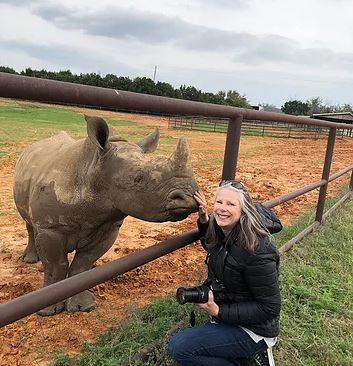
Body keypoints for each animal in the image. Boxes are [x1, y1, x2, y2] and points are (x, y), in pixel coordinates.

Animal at [13, 116, 198, 316]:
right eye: (138, 179)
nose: (188, 196)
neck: (94, 171)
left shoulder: (108, 227)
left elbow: (82, 265)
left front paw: (83, 306)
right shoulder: (50, 228)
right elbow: (56, 265)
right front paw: (48, 311)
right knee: (29, 223)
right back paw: (30, 259)